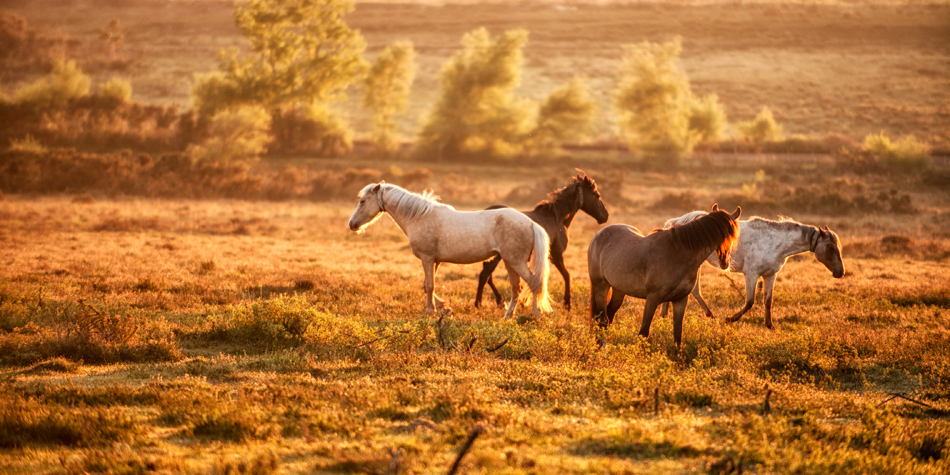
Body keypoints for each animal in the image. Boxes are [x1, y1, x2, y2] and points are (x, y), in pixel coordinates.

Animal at [348, 184, 556, 318]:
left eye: (363, 201)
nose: (352, 224)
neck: (419, 216)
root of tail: (530, 223)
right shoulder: (435, 261)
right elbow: (427, 285)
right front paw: (445, 308)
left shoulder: (427, 258)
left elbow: (429, 286)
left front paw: (431, 311)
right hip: (509, 262)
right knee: (516, 288)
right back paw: (507, 316)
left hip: (516, 262)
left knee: (534, 283)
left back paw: (536, 314)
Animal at [474, 172, 608, 312]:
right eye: (597, 195)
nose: (605, 215)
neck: (556, 219)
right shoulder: (557, 255)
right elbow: (567, 275)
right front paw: (567, 303)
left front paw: (524, 302)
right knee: (485, 275)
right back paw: (480, 304)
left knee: (488, 276)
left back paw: (499, 301)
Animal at [588, 205, 744, 350]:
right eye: (724, 235)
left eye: (732, 236)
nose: (725, 262)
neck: (678, 255)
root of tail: (599, 235)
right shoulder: (652, 299)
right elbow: (644, 332)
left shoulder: (680, 300)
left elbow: (677, 335)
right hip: (601, 287)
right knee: (602, 320)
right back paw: (602, 349)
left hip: (619, 291)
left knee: (608, 317)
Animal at [660, 213, 848, 330]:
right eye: (831, 248)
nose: (840, 272)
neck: (775, 242)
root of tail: (674, 223)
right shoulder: (751, 274)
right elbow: (750, 302)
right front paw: (730, 319)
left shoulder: (770, 275)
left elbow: (767, 301)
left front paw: (770, 325)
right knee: (694, 290)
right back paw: (709, 315)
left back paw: (665, 315)